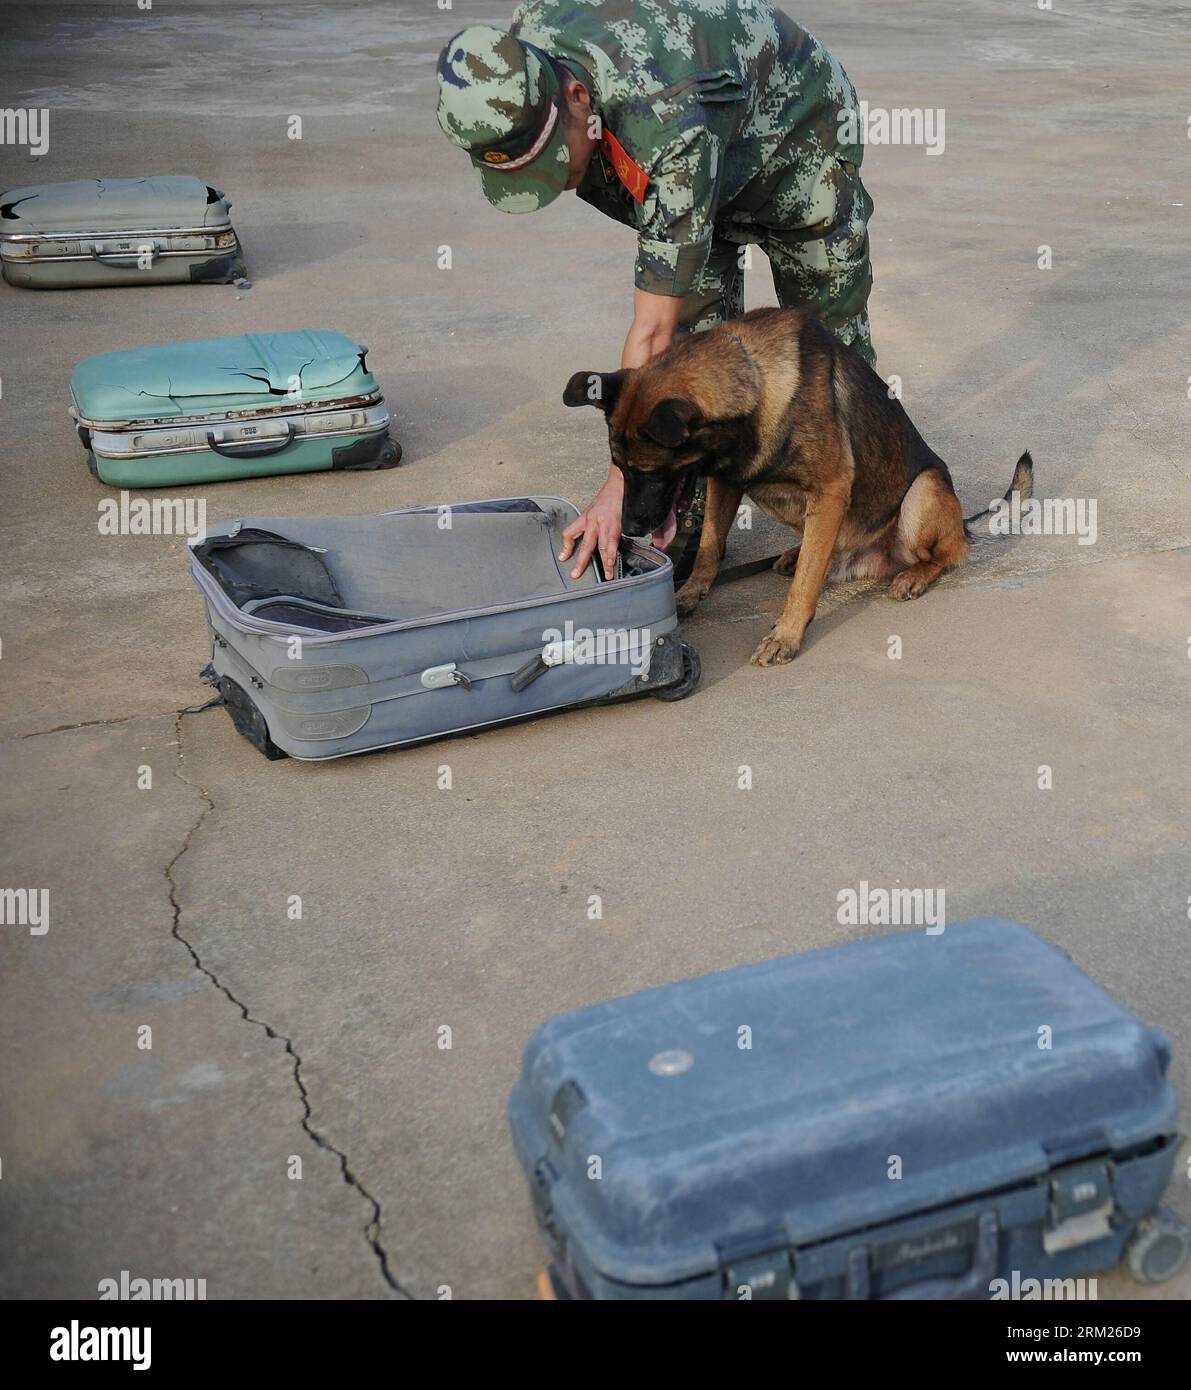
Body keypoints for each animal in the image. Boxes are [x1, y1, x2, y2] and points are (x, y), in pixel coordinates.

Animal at [561, 309, 1028, 667]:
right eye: (619, 470)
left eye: (652, 472)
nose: (629, 528)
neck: (754, 381)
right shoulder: (725, 480)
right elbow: (711, 546)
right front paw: (690, 592)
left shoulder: (831, 490)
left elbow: (803, 587)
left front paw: (786, 635)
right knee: (821, 551)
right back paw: (795, 553)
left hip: (922, 492)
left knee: (950, 553)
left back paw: (914, 575)